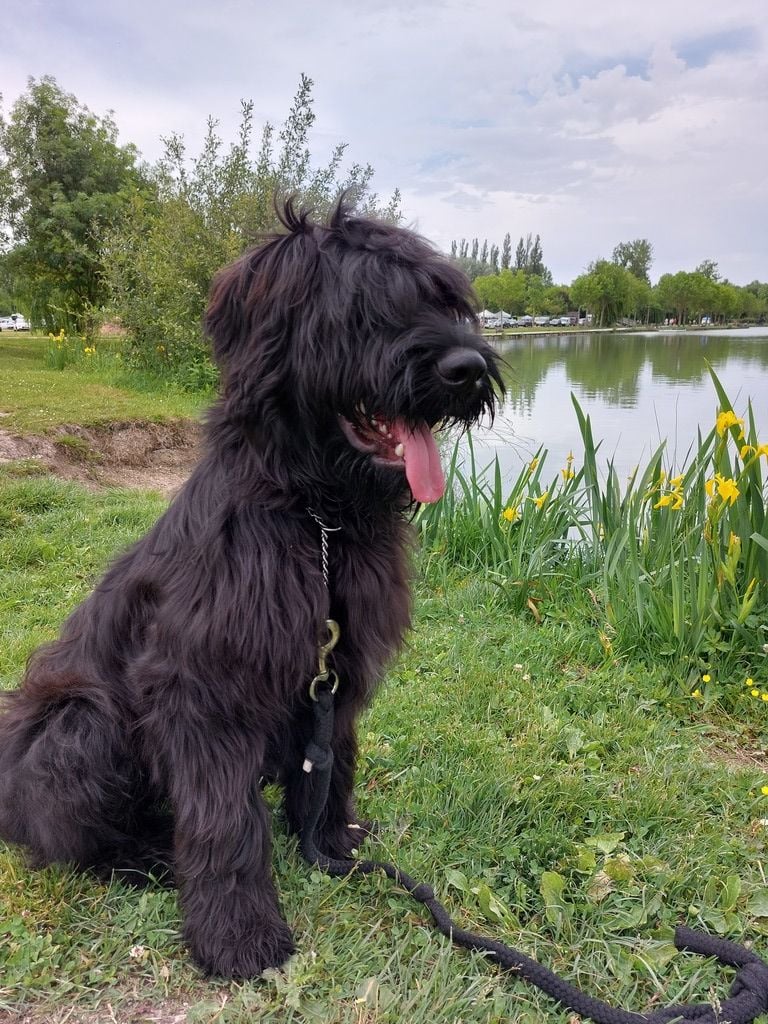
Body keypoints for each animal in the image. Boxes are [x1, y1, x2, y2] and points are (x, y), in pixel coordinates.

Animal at [0, 199, 501, 974]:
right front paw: (238, 933)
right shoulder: (200, 687)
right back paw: (150, 856)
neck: (316, 517)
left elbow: (332, 764)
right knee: (78, 834)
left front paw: (330, 841)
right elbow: (224, 819)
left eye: (445, 300)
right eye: (363, 308)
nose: (468, 367)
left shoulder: (336, 669)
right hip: (79, 725)